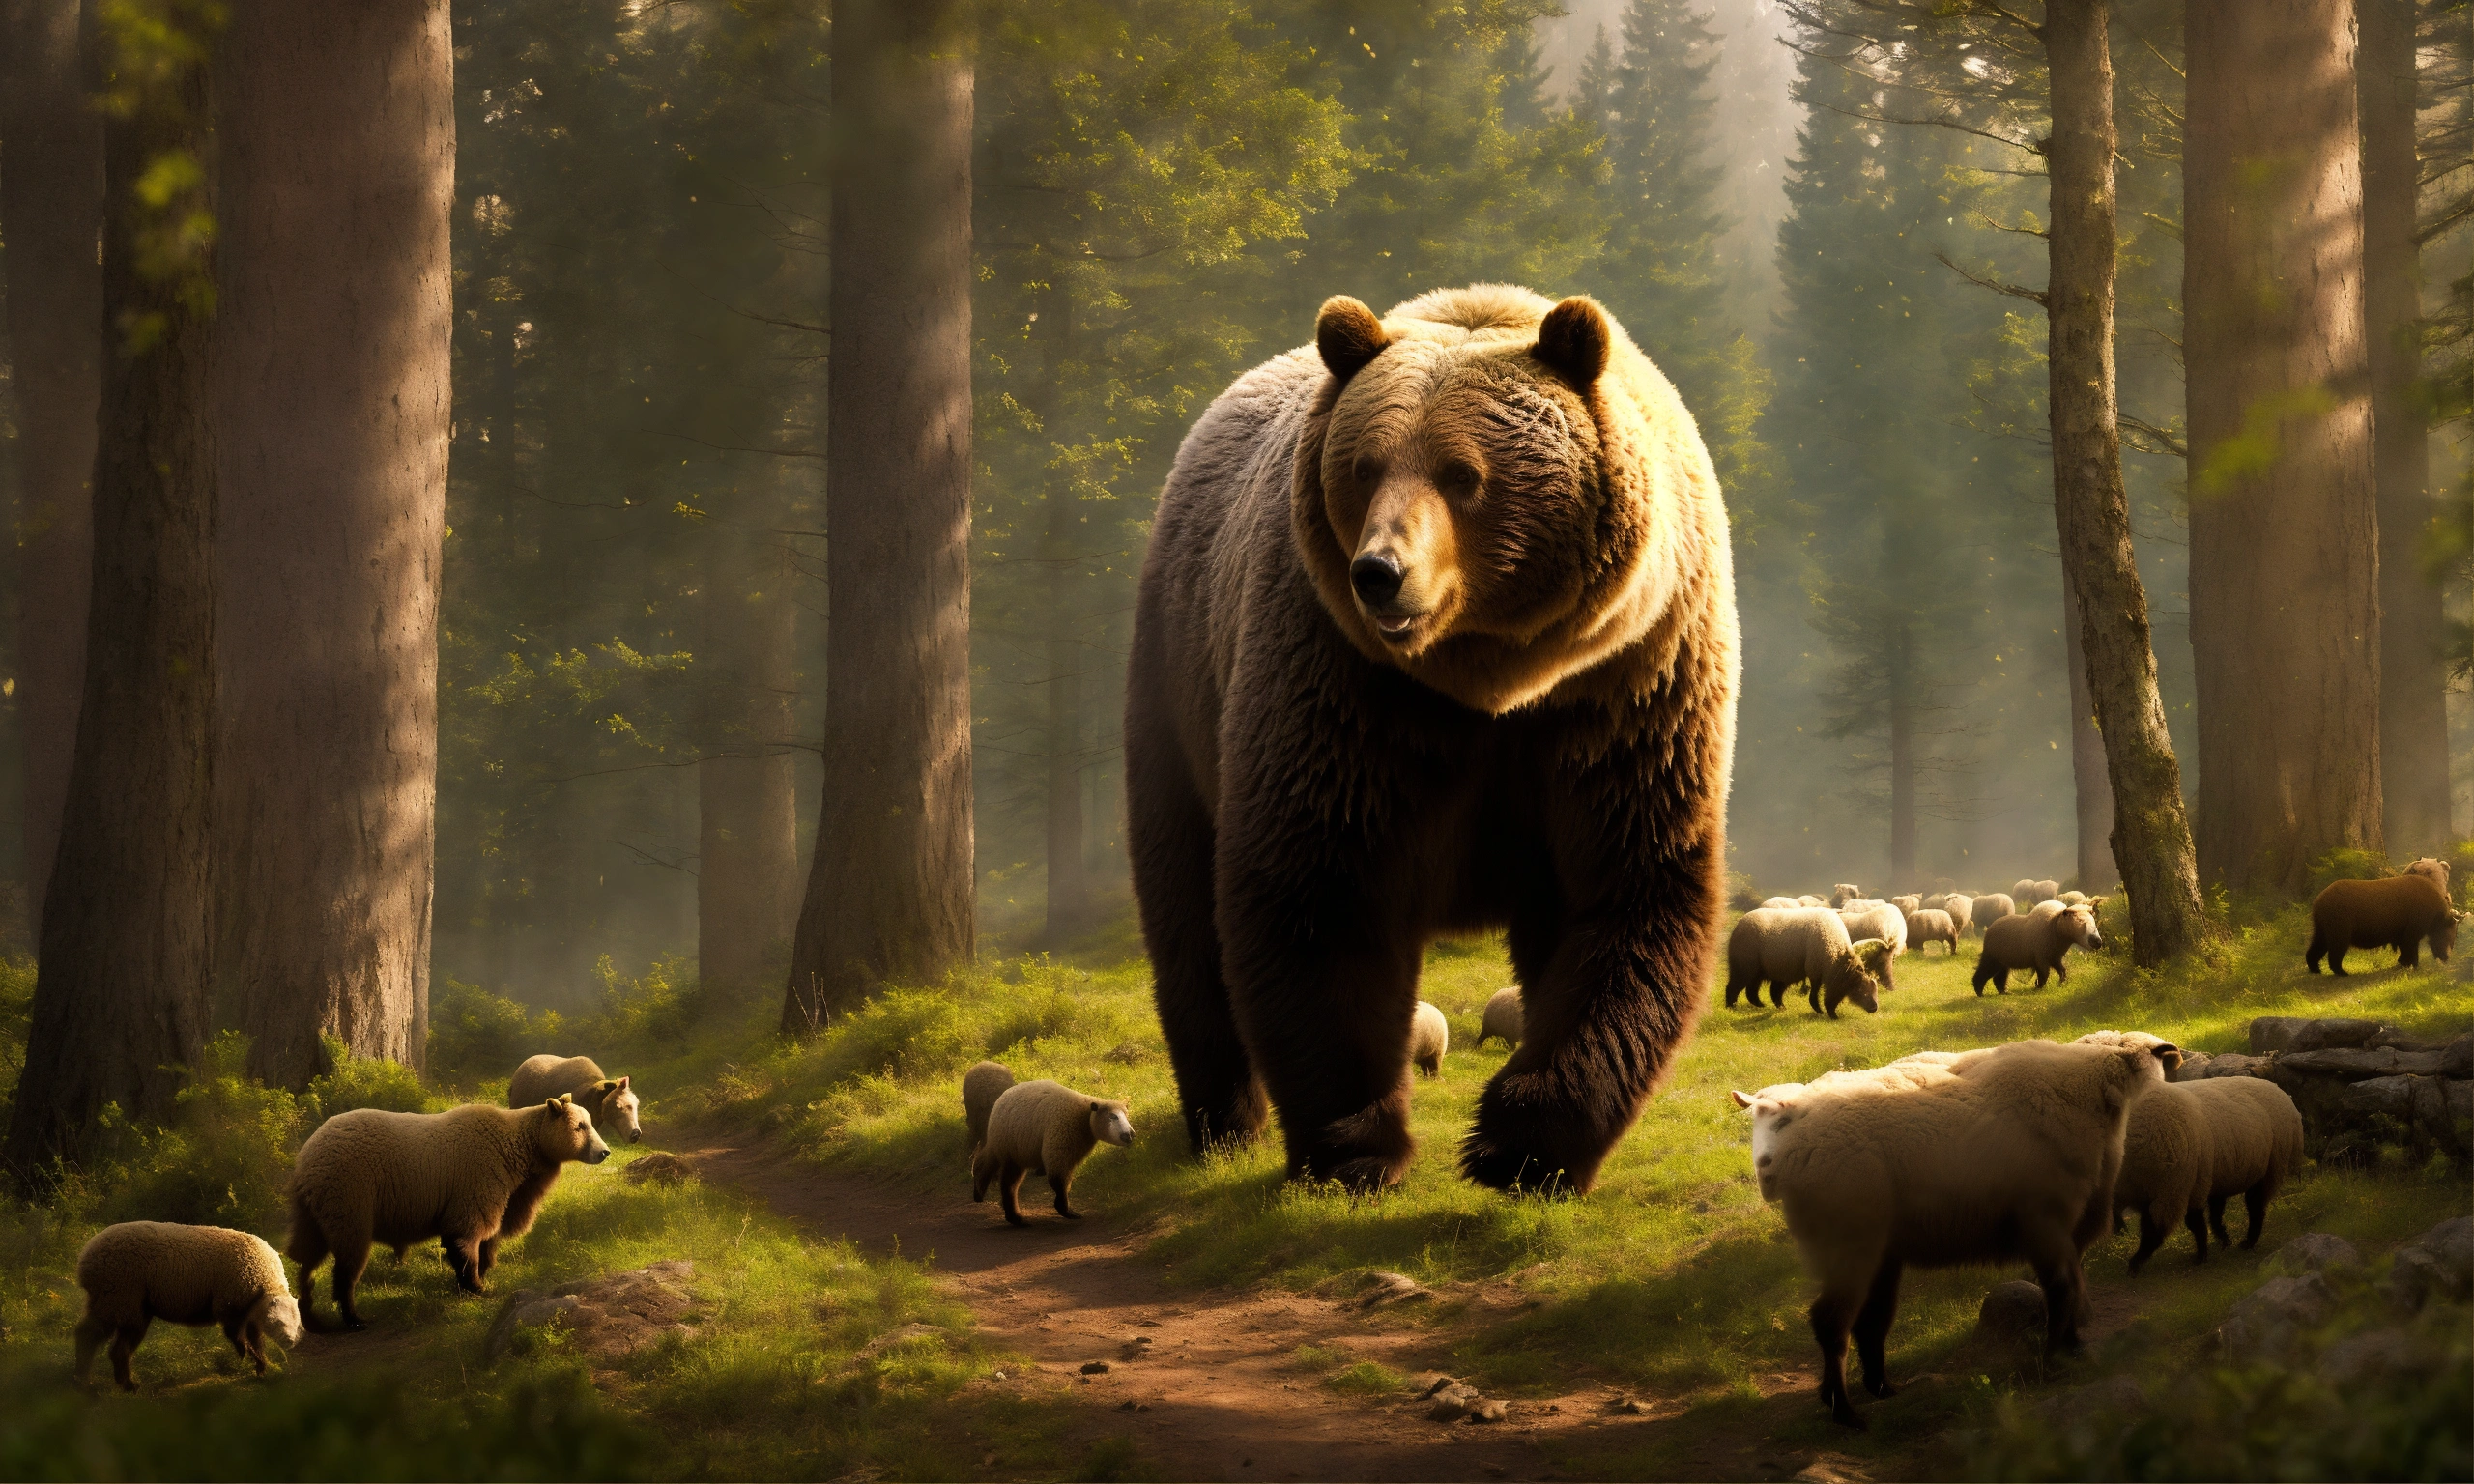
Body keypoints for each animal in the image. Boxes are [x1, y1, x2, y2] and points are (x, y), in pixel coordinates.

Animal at [1123, 284, 1739, 1195]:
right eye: (1365, 466)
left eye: (1463, 474)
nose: (1379, 573)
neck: (1489, 673)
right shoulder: (1346, 689)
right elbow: (1321, 890)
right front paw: (1355, 1149)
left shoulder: (1621, 693)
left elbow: (1621, 892)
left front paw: (1522, 1146)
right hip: (1179, 680)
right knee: (1187, 912)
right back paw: (1223, 1121)